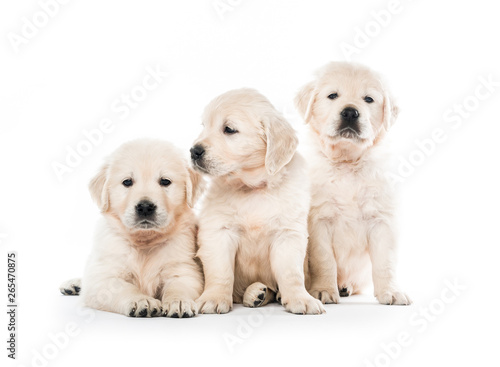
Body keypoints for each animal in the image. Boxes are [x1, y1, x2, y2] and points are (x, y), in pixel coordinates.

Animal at [59, 139, 204, 318]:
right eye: (127, 182)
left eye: (165, 181)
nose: (145, 207)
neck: (145, 241)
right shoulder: (105, 278)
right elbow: (125, 288)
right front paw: (142, 300)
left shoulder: (184, 270)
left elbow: (179, 286)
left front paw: (179, 302)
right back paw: (74, 284)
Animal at [190, 89, 324, 316]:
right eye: (204, 126)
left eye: (229, 129)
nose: (194, 151)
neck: (252, 188)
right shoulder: (218, 232)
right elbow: (220, 271)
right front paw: (214, 298)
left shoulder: (287, 234)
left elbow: (291, 273)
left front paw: (300, 298)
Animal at [294, 64, 408, 308]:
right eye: (332, 95)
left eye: (368, 99)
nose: (349, 113)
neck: (347, 163)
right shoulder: (319, 221)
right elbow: (324, 260)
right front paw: (324, 290)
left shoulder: (381, 220)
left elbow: (385, 262)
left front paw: (391, 292)